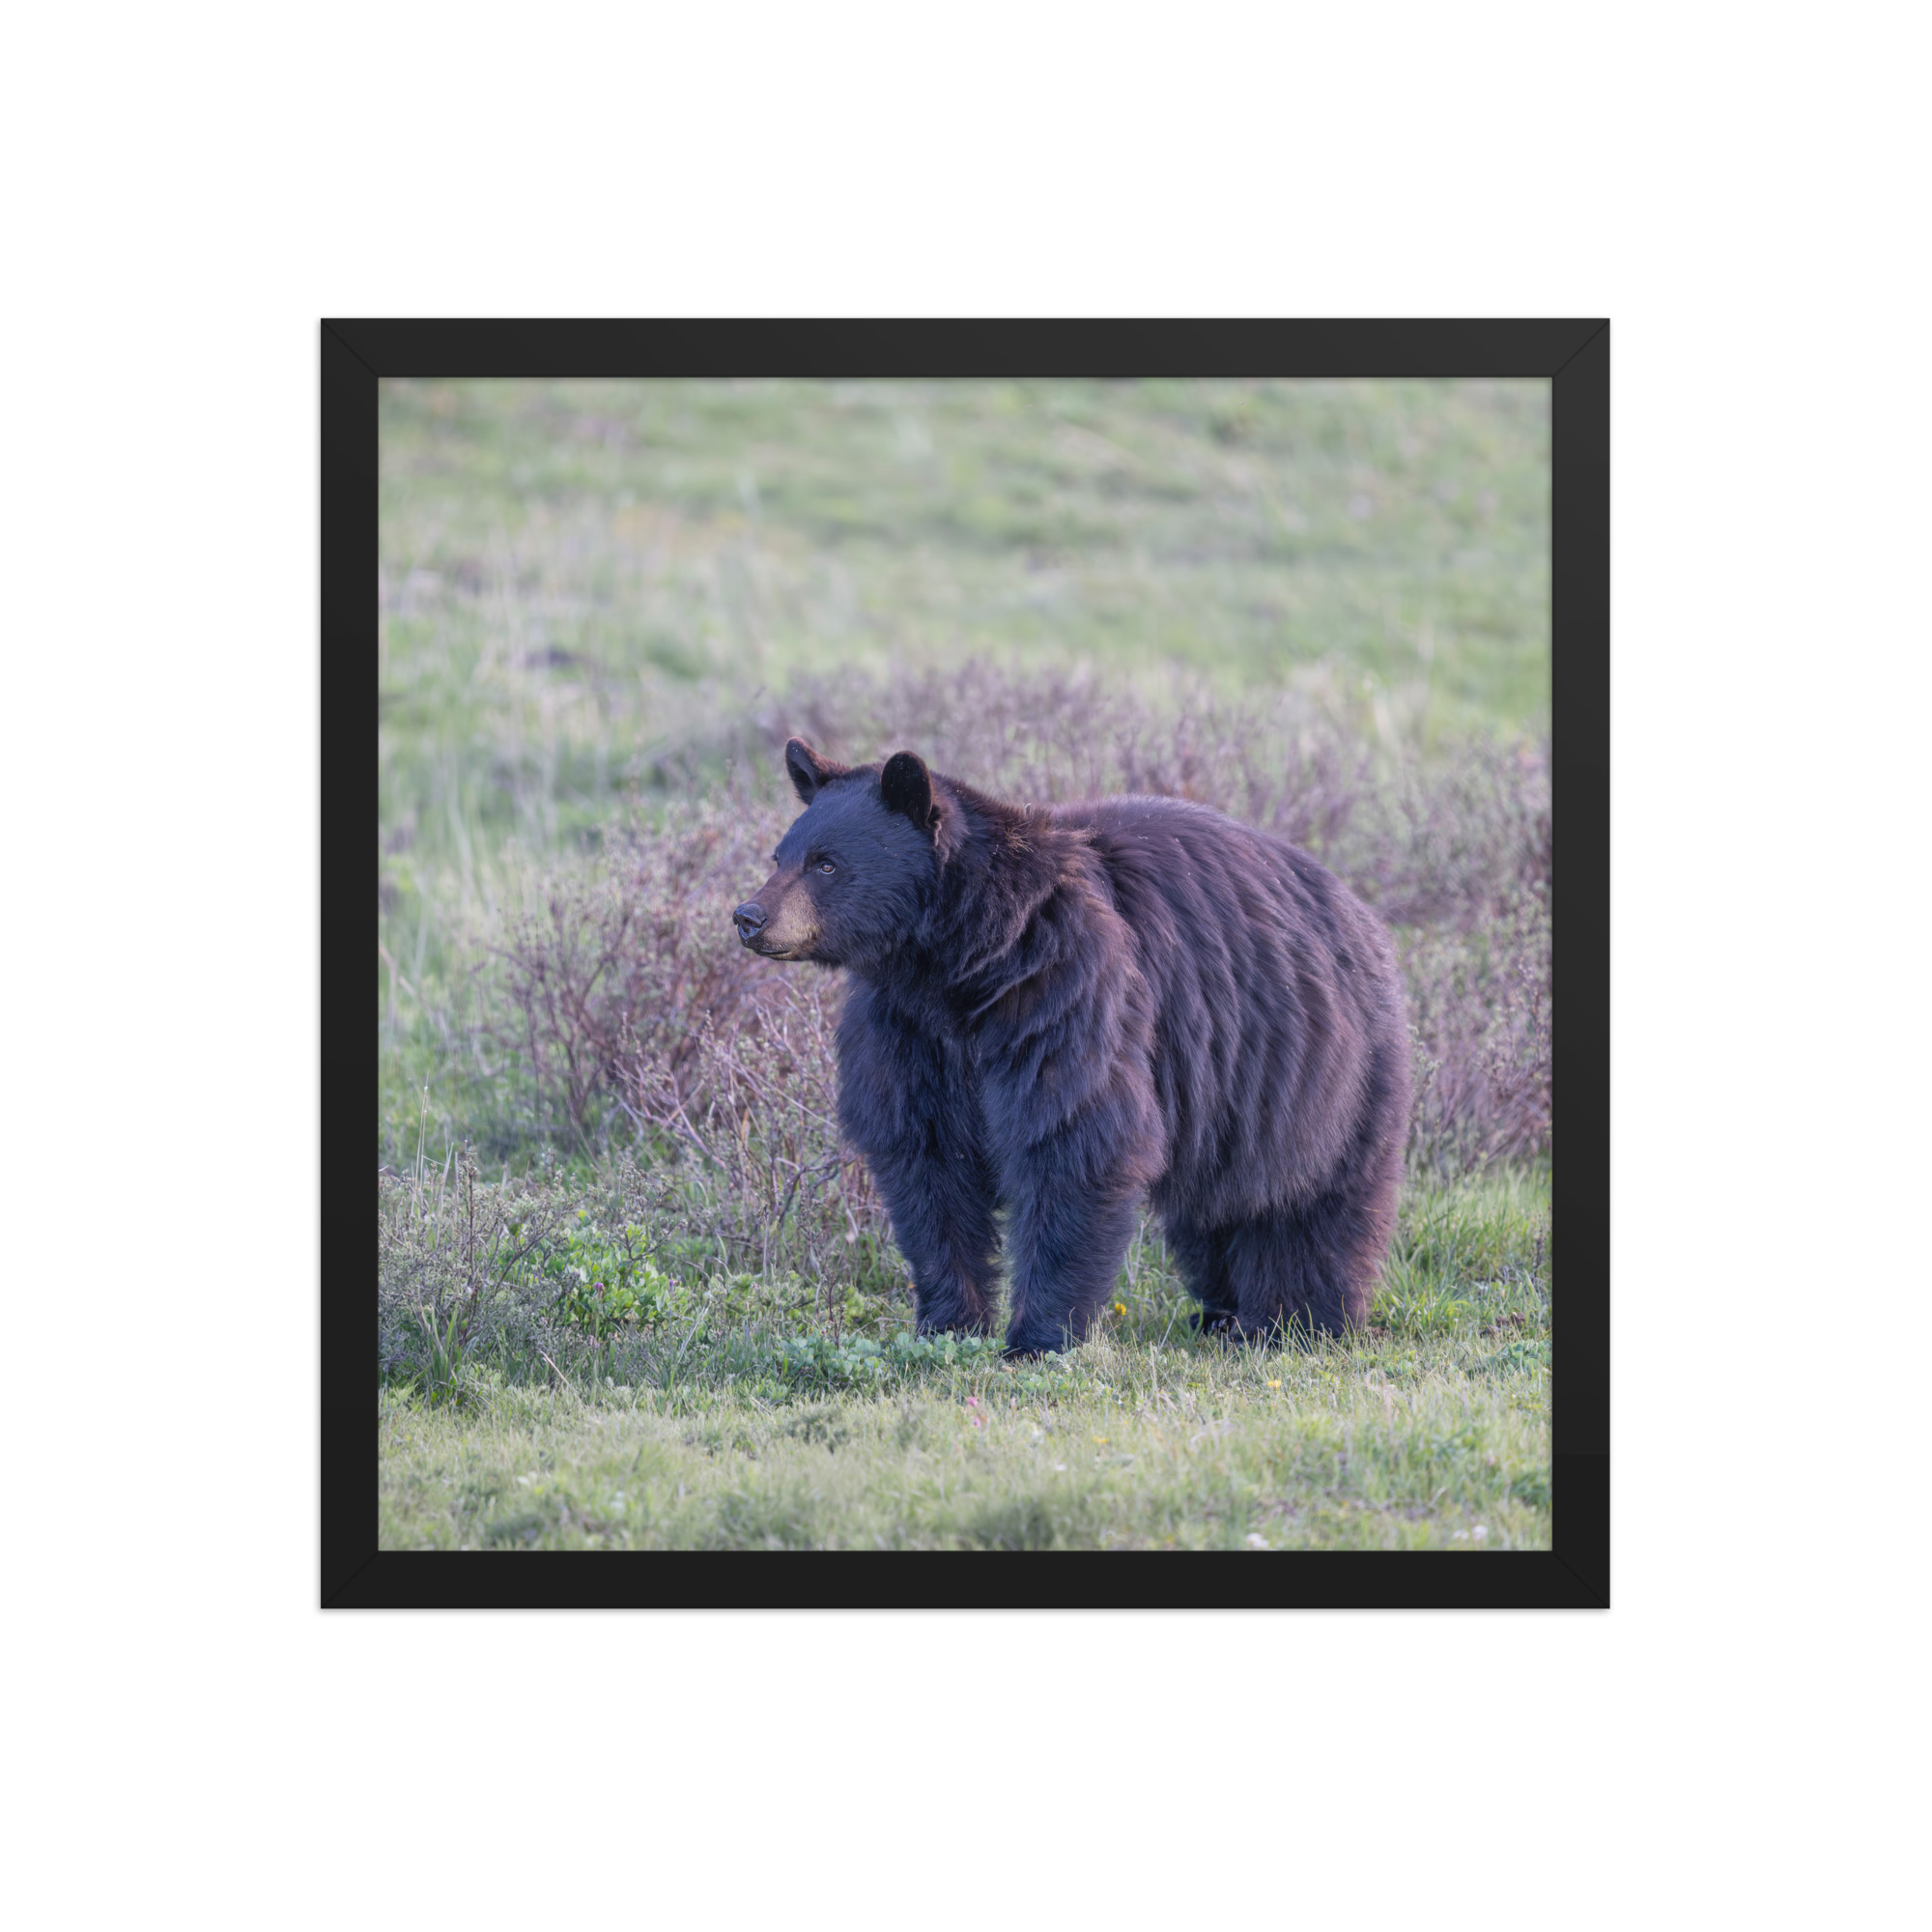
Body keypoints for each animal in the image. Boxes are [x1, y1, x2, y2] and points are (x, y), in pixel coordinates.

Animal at [732, 737, 1412, 1356]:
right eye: (779, 854)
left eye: (826, 863)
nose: (749, 916)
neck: (960, 963)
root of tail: (1360, 912)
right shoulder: (907, 1031)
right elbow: (926, 1162)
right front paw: (947, 1324)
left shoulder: (1065, 990)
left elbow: (1073, 1138)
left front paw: (1037, 1338)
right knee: (1214, 1208)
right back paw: (1221, 1314)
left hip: (1320, 1068)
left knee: (1311, 1201)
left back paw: (1296, 1321)